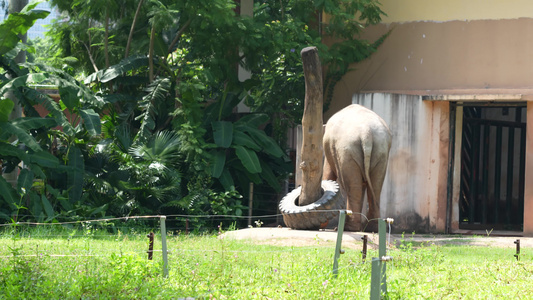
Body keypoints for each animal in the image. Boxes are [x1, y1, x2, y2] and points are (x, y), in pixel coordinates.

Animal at [320, 103, 390, 232]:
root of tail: (366, 133)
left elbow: (328, 173)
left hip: (347, 152)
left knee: (352, 187)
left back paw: (348, 228)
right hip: (381, 152)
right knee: (375, 187)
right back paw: (371, 228)